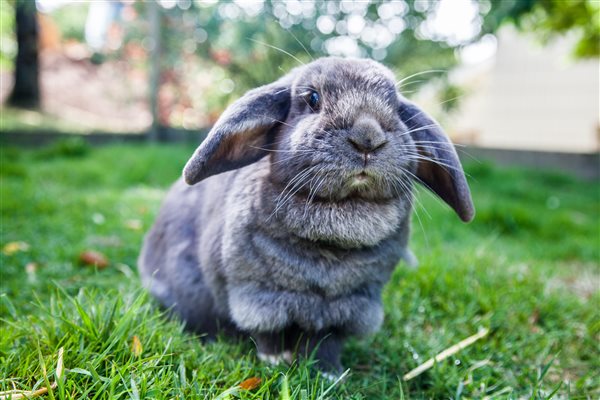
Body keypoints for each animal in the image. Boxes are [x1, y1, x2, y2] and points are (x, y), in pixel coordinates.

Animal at [138, 57, 476, 378]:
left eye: (394, 104)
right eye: (312, 98)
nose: (368, 138)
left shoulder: (350, 305)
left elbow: (325, 343)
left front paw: (327, 373)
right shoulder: (257, 295)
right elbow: (268, 335)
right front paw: (275, 362)